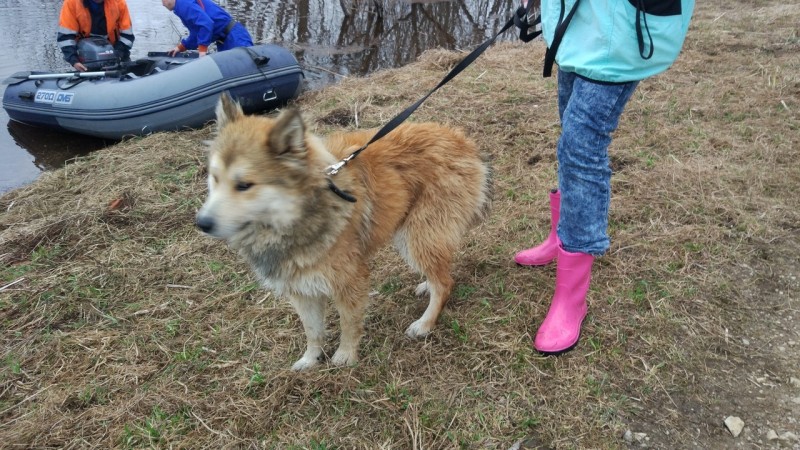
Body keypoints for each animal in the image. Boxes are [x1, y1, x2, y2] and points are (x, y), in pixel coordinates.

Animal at [197, 93, 490, 370]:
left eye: (244, 185)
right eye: (214, 178)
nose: (202, 223)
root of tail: (461, 140)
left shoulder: (349, 282)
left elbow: (348, 324)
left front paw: (345, 356)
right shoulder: (300, 290)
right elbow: (312, 331)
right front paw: (310, 360)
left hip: (418, 236)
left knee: (445, 283)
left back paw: (425, 322)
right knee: (439, 272)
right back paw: (426, 284)